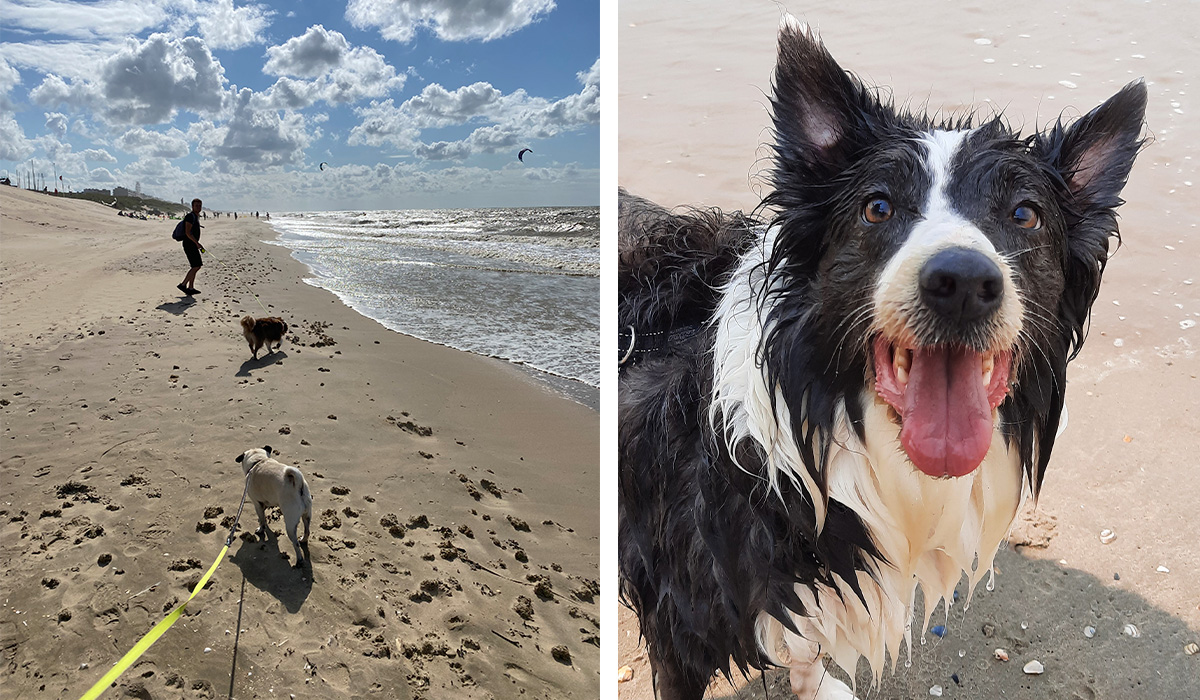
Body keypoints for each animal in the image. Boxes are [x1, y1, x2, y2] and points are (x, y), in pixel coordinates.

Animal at [619, 17, 1142, 700]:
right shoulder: (678, 622)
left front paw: (816, 683)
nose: (962, 283)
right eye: (878, 207)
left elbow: (805, 643)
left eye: (1025, 214)